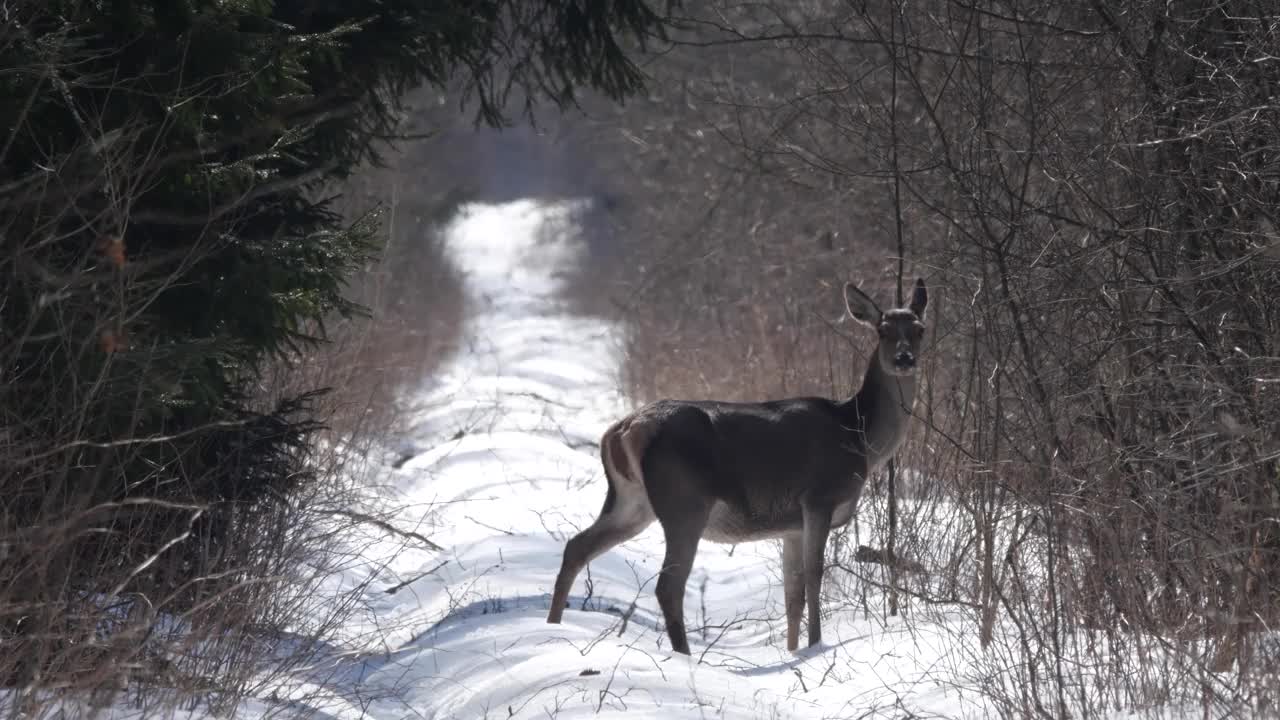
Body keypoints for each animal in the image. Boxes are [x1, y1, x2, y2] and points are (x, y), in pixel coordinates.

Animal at [542, 278, 931, 653]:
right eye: (882, 330)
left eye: (920, 329)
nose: (905, 358)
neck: (858, 435)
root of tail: (623, 431)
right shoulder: (818, 498)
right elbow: (814, 576)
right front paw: (815, 646)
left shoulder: (791, 526)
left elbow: (793, 594)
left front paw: (794, 651)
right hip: (684, 500)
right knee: (668, 585)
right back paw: (683, 655)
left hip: (631, 500)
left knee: (577, 547)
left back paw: (553, 626)